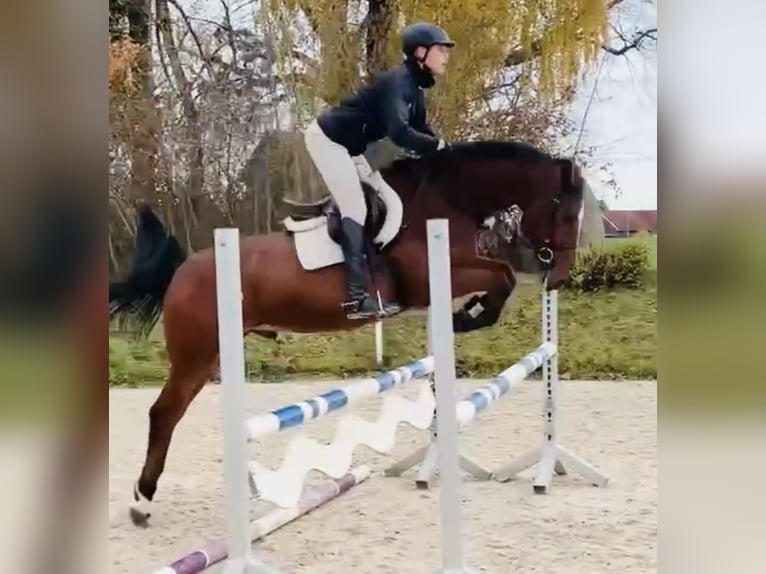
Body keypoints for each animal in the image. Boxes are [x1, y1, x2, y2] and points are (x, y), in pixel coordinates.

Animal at [109, 140, 587, 527]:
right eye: (565, 212)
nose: (561, 277)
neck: (446, 199)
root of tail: (182, 271)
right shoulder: (431, 276)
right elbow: (503, 275)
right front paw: (467, 317)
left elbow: (502, 276)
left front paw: (465, 315)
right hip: (196, 355)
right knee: (164, 414)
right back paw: (141, 503)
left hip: (211, 356)